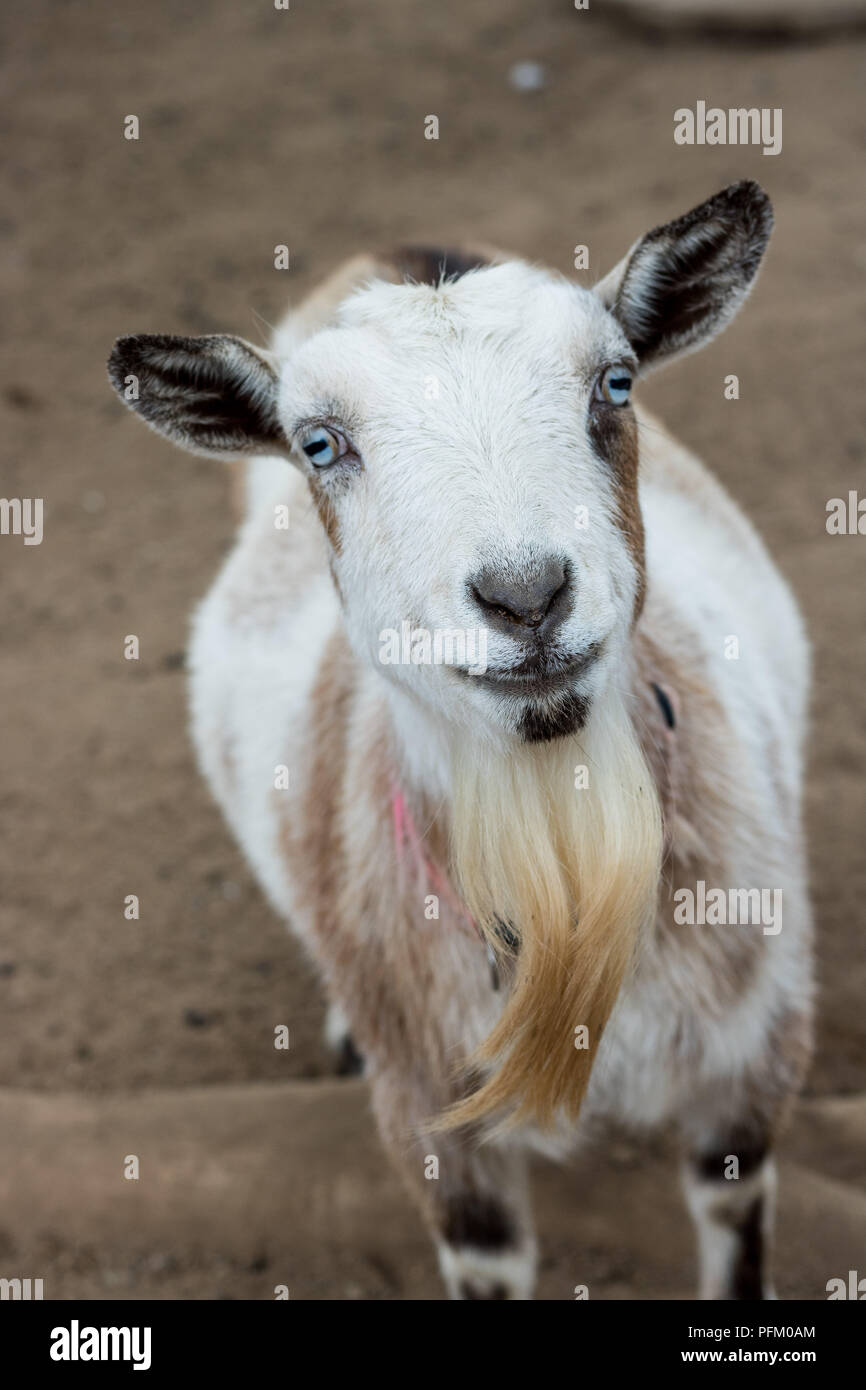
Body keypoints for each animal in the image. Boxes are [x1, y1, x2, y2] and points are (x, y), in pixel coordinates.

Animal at [108, 184, 811, 1301]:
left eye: (615, 382)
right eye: (318, 443)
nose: (525, 594)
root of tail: (399, 245)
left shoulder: (754, 1051)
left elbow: (733, 1223)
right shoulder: (433, 1118)